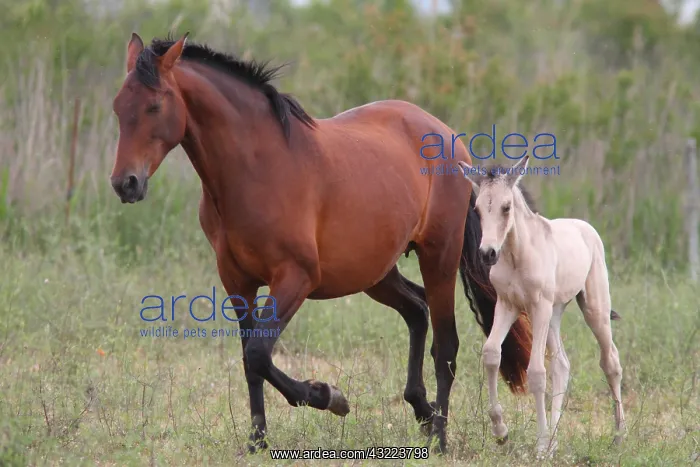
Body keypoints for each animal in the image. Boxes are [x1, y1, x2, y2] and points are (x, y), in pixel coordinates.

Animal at [108, 31, 533, 454]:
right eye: (117, 107)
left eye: (154, 105)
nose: (125, 183)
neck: (255, 169)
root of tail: (449, 138)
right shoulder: (237, 282)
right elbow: (250, 359)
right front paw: (258, 441)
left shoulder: (295, 278)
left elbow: (259, 353)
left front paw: (329, 396)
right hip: (374, 271)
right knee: (416, 309)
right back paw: (423, 412)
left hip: (437, 258)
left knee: (446, 346)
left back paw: (440, 439)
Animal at [457, 156, 625, 457]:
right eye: (477, 209)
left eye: (506, 207)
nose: (487, 253)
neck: (517, 255)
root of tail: (586, 228)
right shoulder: (507, 305)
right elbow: (491, 354)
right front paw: (501, 432)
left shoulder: (538, 307)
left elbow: (536, 372)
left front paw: (540, 444)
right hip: (555, 312)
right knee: (562, 364)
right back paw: (556, 439)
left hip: (593, 308)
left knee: (611, 361)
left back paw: (618, 435)